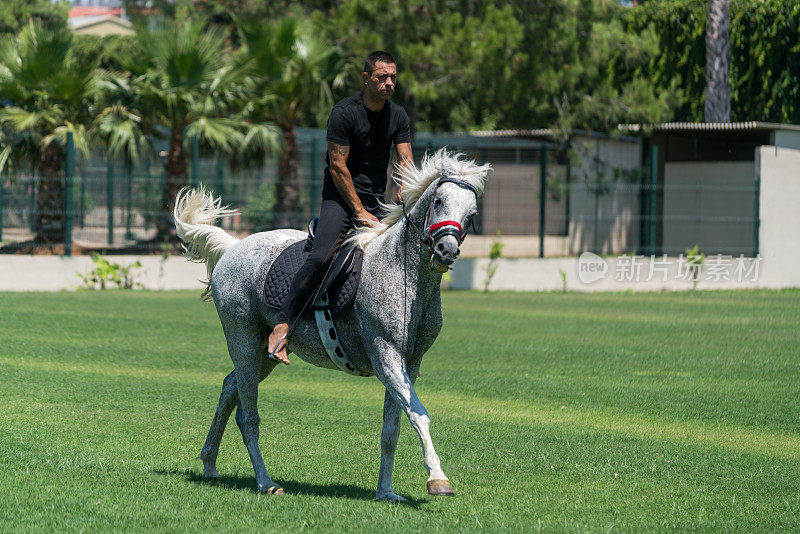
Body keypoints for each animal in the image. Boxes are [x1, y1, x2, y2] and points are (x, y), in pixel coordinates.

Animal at [172, 149, 490, 500]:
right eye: (438, 201)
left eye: (472, 212)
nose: (446, 250)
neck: (403, 273)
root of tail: (232, 247)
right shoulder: (386, 357)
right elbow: (418, 415)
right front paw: (437, 478)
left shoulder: (410, 362)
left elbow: (391, 429)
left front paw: (386, 491)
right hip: (244, 342)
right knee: (247, 416)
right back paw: (265, 482)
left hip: (263, 354)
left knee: (230, 388)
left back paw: (209, 462)